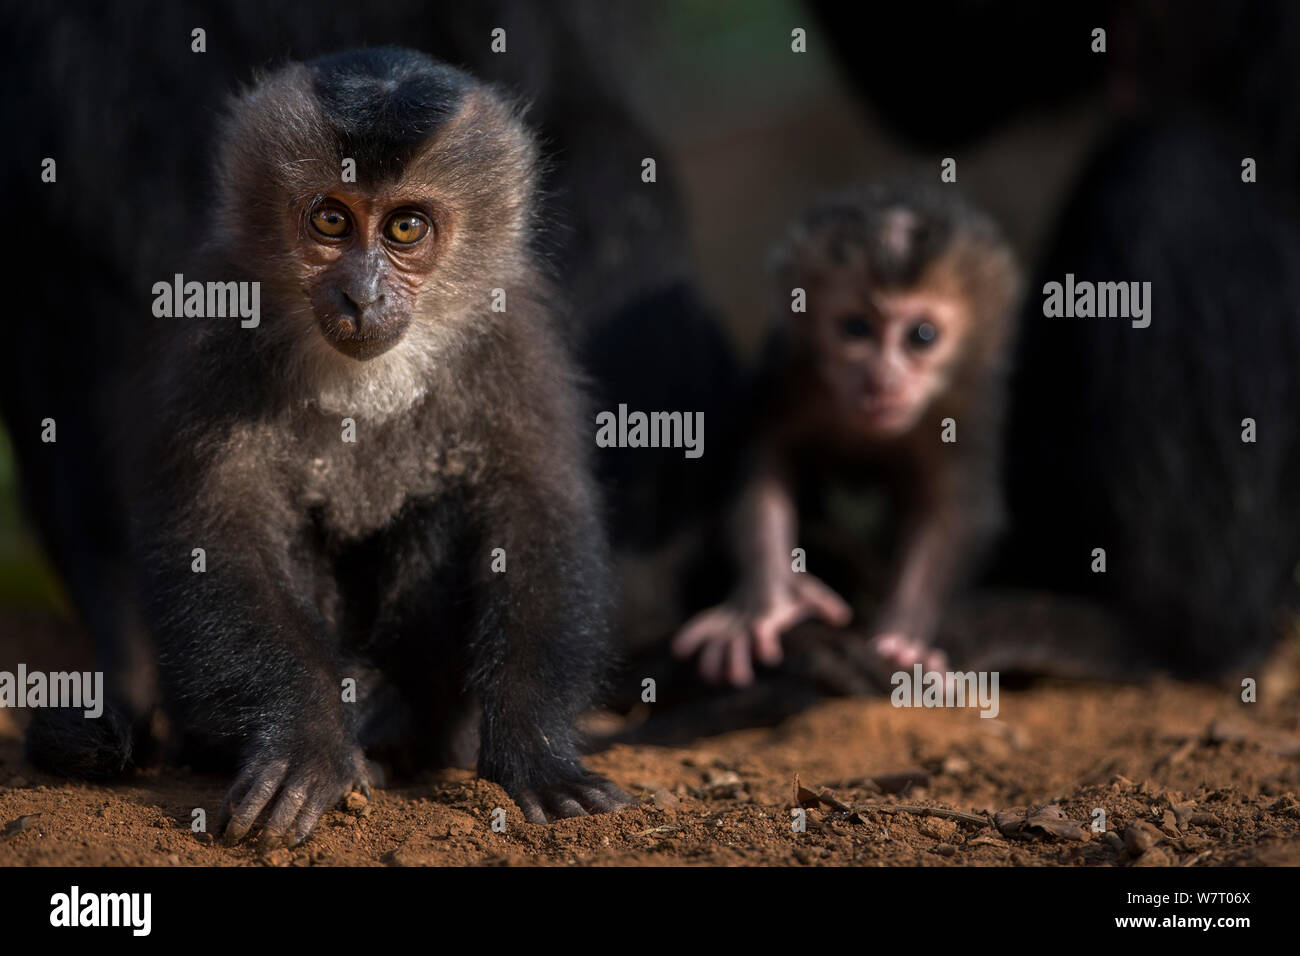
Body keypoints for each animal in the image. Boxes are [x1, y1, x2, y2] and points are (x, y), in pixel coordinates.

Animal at [676, 180, 1019, 686]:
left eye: (922, 335)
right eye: (855, 328)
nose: (882, 381)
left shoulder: (967, 402)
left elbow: (952, 509)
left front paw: (905, 638)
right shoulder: (792, 370)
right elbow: (765, 458)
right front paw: (765, 603)